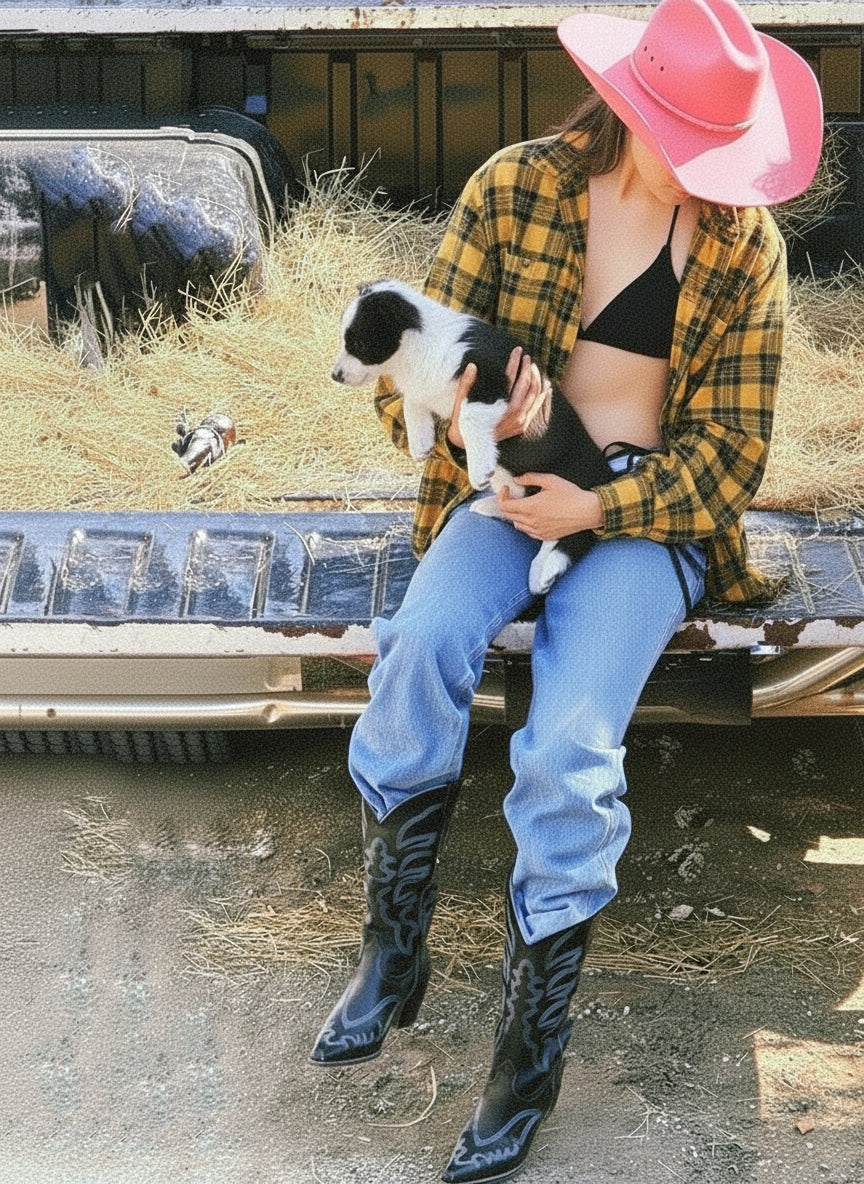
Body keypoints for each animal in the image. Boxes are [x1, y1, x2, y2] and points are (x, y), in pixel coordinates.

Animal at [331, 278, 615, 594]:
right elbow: (411, 401)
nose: (335, 375)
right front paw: (421, 443)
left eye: (358, 343)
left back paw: (544, 571)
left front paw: (478, 470)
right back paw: (491, 507)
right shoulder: (425, 387)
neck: (418, 348)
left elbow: (467, 418)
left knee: (571, 534)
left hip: (566, 492)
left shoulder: (488, 382)